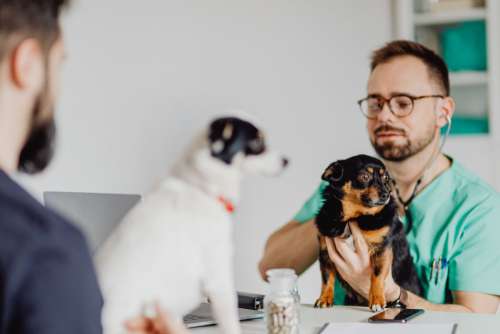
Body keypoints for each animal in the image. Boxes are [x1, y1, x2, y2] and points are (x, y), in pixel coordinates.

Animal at [314, 154, 420, 310]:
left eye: (386, 178)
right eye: (364, 177)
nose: (386, 194)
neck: (354, 217)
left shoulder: (382, 249)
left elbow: (377, 275)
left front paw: (377, 300)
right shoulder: (325, 252)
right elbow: (327, 278)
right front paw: (324, 298)